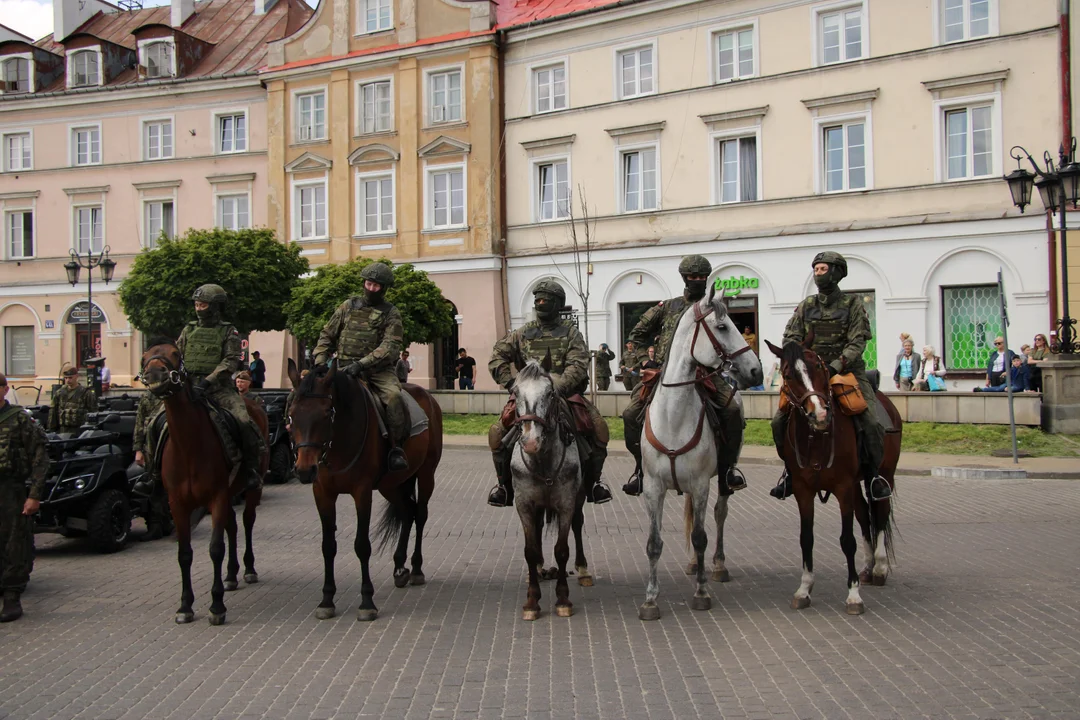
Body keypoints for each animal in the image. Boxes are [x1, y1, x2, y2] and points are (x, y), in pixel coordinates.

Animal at [140, 343, 268, 626]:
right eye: (145, 357)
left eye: (175, 354)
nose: (155, 374)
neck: (188, 445)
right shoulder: (177, 504)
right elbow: (185, 553)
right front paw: (185, 606)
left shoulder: (216, 497)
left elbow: (215, 548)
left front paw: (217, 606)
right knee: (232, 526)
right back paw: (230, 575)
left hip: (251, 489)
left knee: (247, 522)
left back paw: (248, 568)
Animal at [287, 362, 442, 621]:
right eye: (292, 414)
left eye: (326, 413)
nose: (305, 470)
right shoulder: (322, 493)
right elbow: (328, 546)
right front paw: (327, 599)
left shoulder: (362, 491)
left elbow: (362, 545)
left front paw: (367, 601)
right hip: (390, 484)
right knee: (407, 511)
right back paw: (400, 567)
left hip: (426, 473)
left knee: (420, 515)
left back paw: (416, 568)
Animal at [635, 284, 764, 621]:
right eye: (722, 327)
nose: (756, 370)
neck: (673, 416)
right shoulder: (653, 487)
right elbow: (653, 543)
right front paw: (650, 600)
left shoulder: (702, 483)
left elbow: (701, 536)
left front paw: (702, 593)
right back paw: (694, 564)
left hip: (721, 478)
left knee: (719, 515)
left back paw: (717, 565)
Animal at [768, 341, 902, 617]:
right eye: (788, 375)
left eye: (819, 367)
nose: (819, 414)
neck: (818, 438)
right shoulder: (803, 490)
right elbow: (806, 538)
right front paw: (804, 589)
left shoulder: (843, 487)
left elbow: (847, 540)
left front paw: (853, 595)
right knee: (865, 516)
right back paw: (867, 568)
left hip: (884, 475)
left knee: (880, 513)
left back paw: (880, 567)